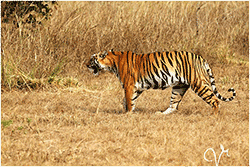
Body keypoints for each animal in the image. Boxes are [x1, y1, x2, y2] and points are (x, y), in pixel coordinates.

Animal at [86, 49, 236, 114]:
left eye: (91, 59)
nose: (86, 65)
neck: (112, 62)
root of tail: (201, 58)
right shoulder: (137, 87)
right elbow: (129, 100)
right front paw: (128, 111)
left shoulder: (129, 85)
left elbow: (128, 100)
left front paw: (127, 114)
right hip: (179, 87)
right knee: (174, 105)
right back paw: (161, 114)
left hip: (198, 83)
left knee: (214, 100)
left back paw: (213, 116)